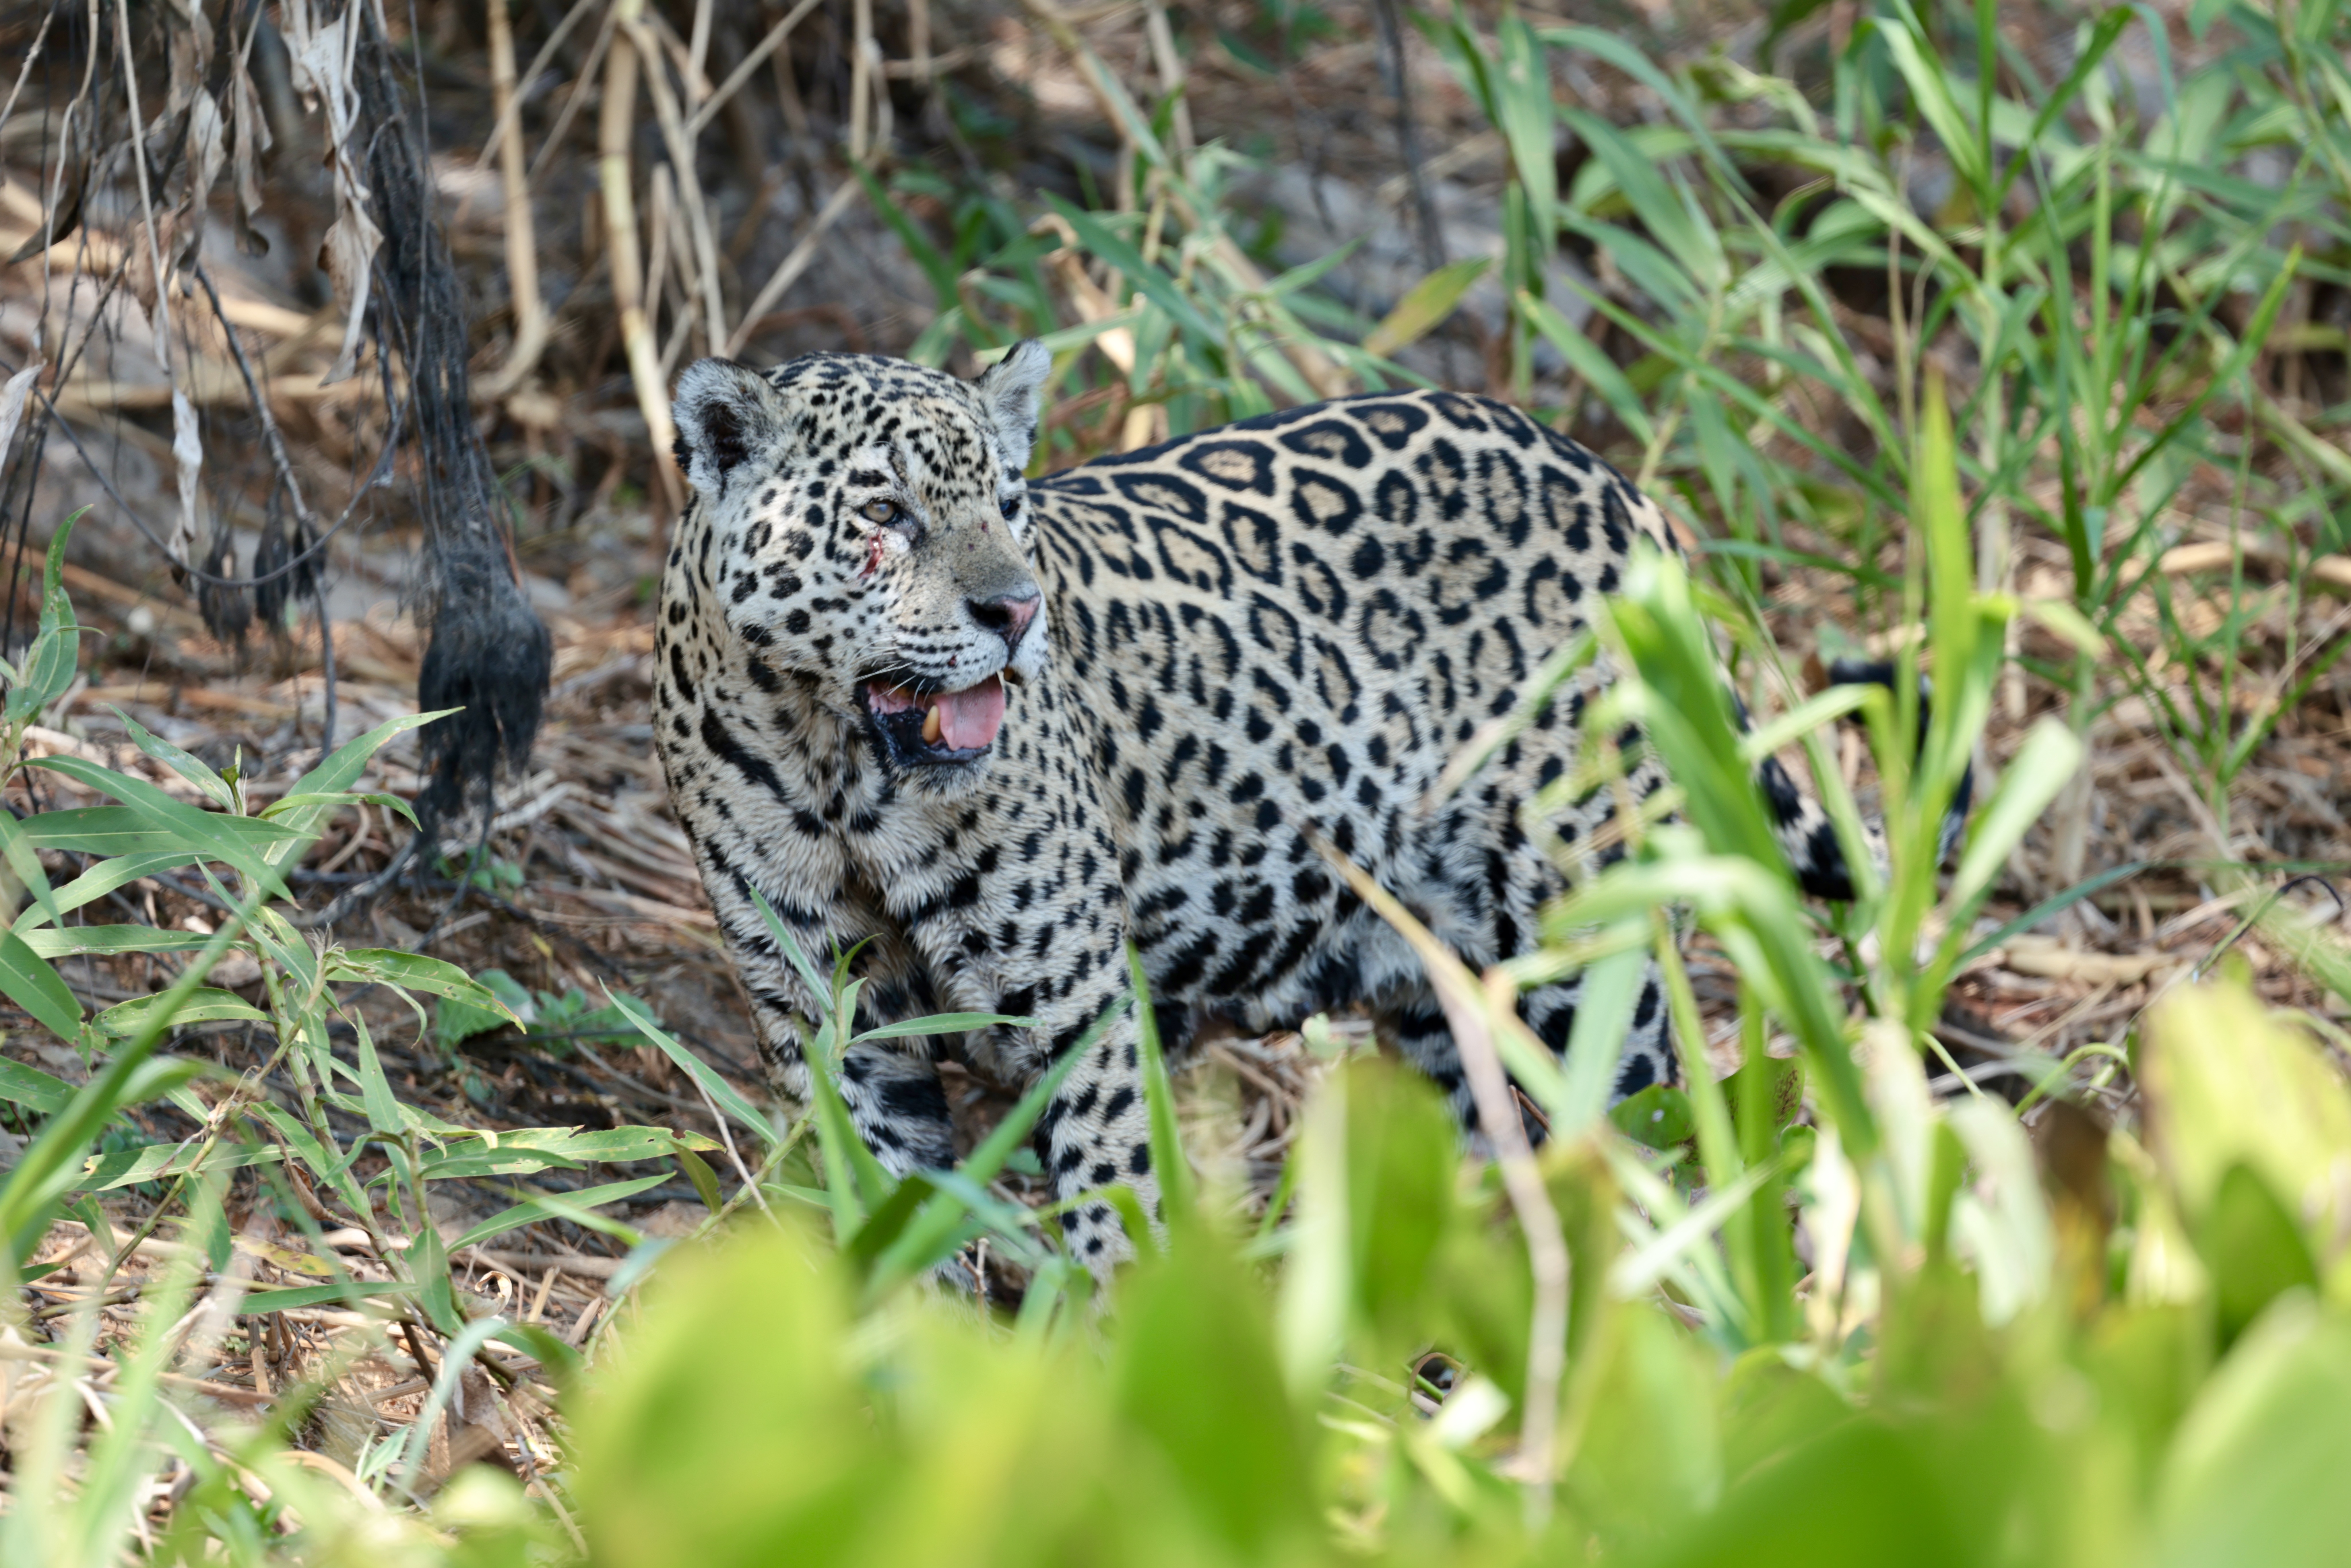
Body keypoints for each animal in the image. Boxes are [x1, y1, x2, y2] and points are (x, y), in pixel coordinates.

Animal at [652, 341, 1902, 1274]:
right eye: (886, 513)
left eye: (1007, 504)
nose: (1015, 611)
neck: (840, 769)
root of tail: (1609, 485)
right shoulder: (826, 1018)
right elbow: (887, 1212)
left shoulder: (1080, 1005)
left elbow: (1114, 1207)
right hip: (1437, 990)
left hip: (1596, 950)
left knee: (1656, 1141)